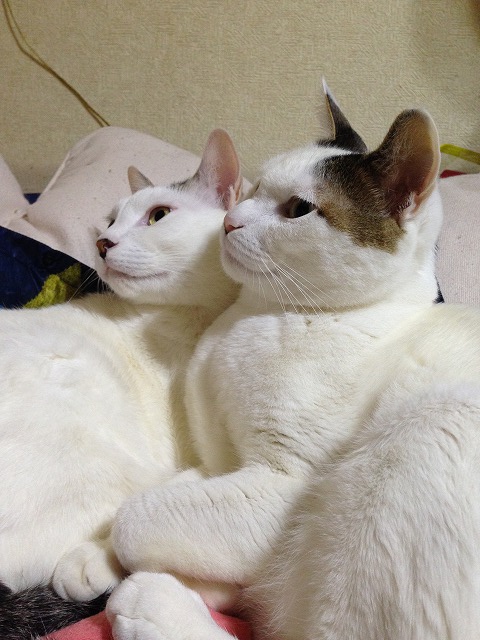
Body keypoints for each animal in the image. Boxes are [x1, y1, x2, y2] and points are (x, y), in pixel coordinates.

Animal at [104, 84, 480, 640]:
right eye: (256, 186)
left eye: (299, 208)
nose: (228, 221)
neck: (255, 316)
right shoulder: (220, 462)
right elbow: (178, 490)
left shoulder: (281, 483)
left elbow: (132, 520)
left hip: (429, 431)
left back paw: (153, 605)